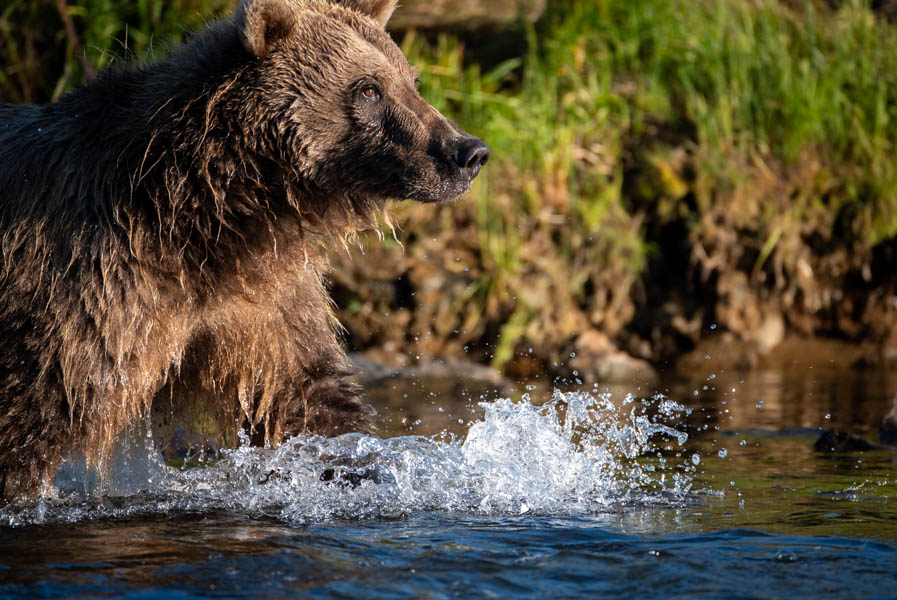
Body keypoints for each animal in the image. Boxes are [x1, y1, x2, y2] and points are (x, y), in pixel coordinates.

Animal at [0, 0, 489, 502]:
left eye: (411, 80)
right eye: (369, 88)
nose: (468, 152)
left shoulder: (261, 299)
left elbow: (309, 397)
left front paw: (365, 467)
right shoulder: (89, 280)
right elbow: (34, 413)